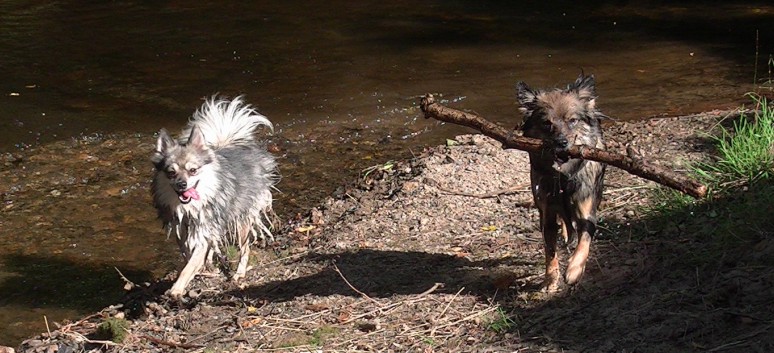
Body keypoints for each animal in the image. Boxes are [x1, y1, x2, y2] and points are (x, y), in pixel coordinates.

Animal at [152, 95, 278, 296]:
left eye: (193, 170)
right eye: (171, 172)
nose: (182, 184)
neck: (189, 208)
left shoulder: (204, 230)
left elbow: (190, 264)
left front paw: (177, 288)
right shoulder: (182, 231)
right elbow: (187, 257)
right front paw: (199, 271)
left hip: (243, 219)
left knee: (245, 249)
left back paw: (239, 273)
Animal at [520, 74, 608, 292]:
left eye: (572, 120)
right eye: (547, 124)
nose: (561, 143)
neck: (563, 176)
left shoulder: (587, 211)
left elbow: (584, 240)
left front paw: (574, 270)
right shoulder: (548, 213)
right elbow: (549, 250)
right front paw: (550, 278)